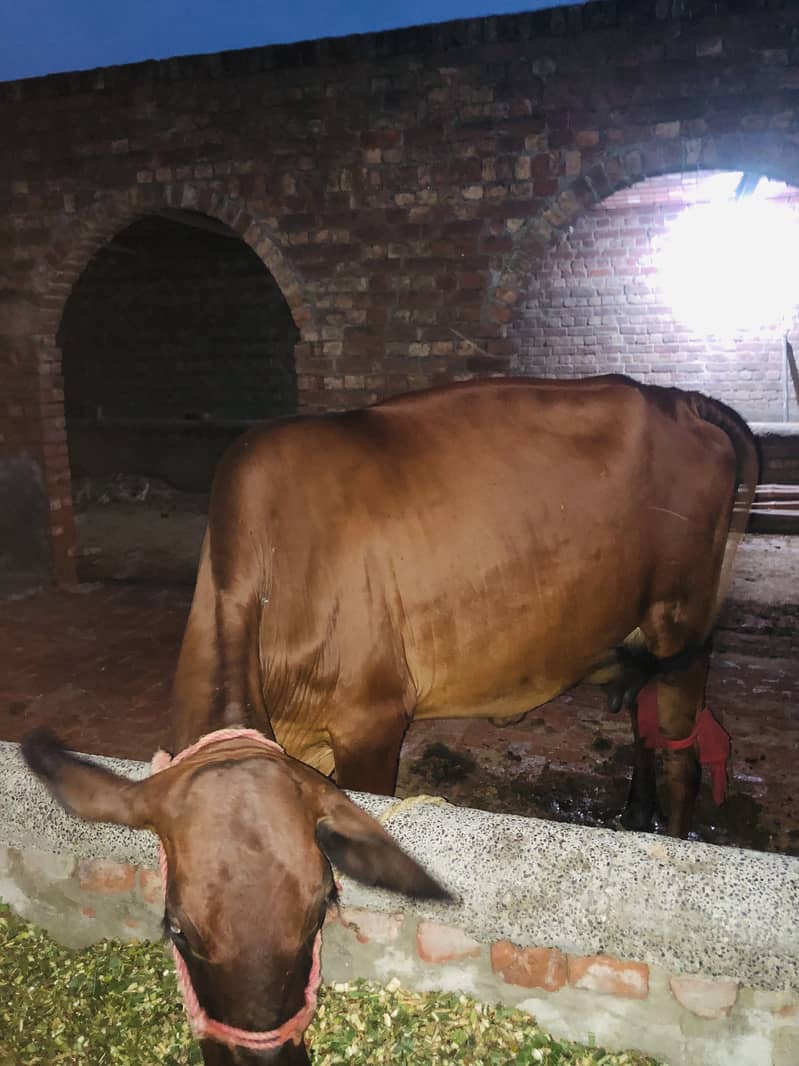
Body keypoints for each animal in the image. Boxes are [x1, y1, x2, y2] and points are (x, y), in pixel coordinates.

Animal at [173, 375, 758, 839]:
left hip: (681, 621)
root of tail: (680, 399)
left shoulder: (371, 721)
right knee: (644, 716)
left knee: (683, 756)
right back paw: (636, 814)